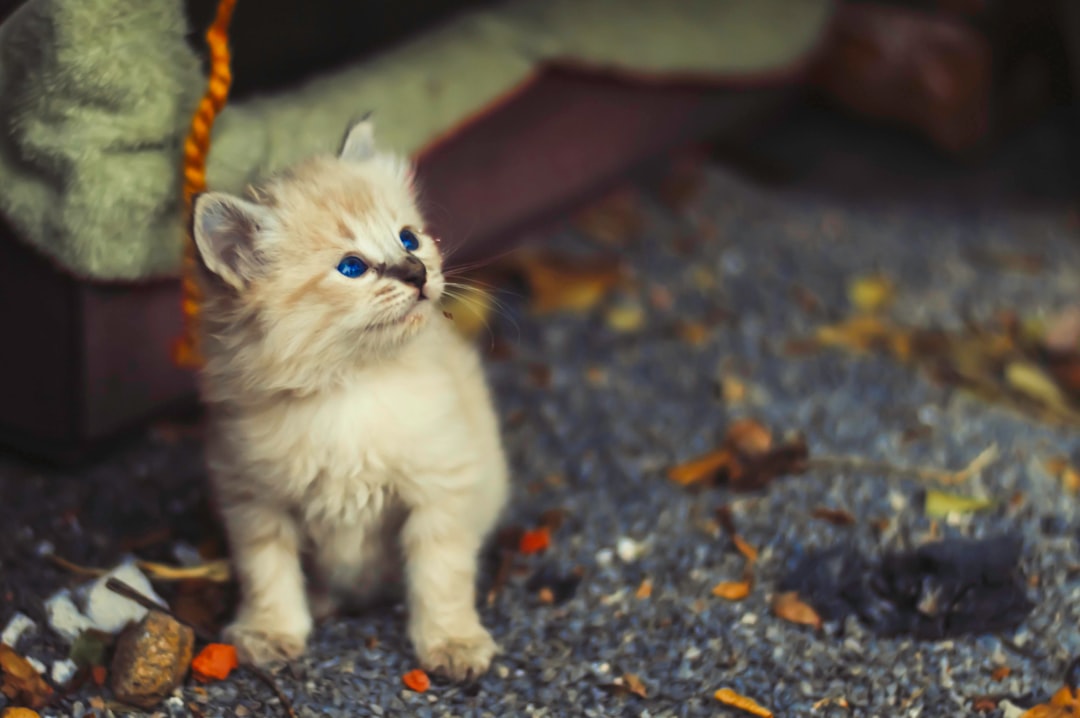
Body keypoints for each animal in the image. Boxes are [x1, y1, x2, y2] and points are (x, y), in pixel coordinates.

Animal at [190, 116, 509, 678]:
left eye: (409, 238)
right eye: (353, 268)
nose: (418, 273)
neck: (349, 385)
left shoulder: (440, 491)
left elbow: (441, 576)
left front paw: (451, 642)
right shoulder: (256, 500)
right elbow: (267, 573)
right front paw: (270, 632)